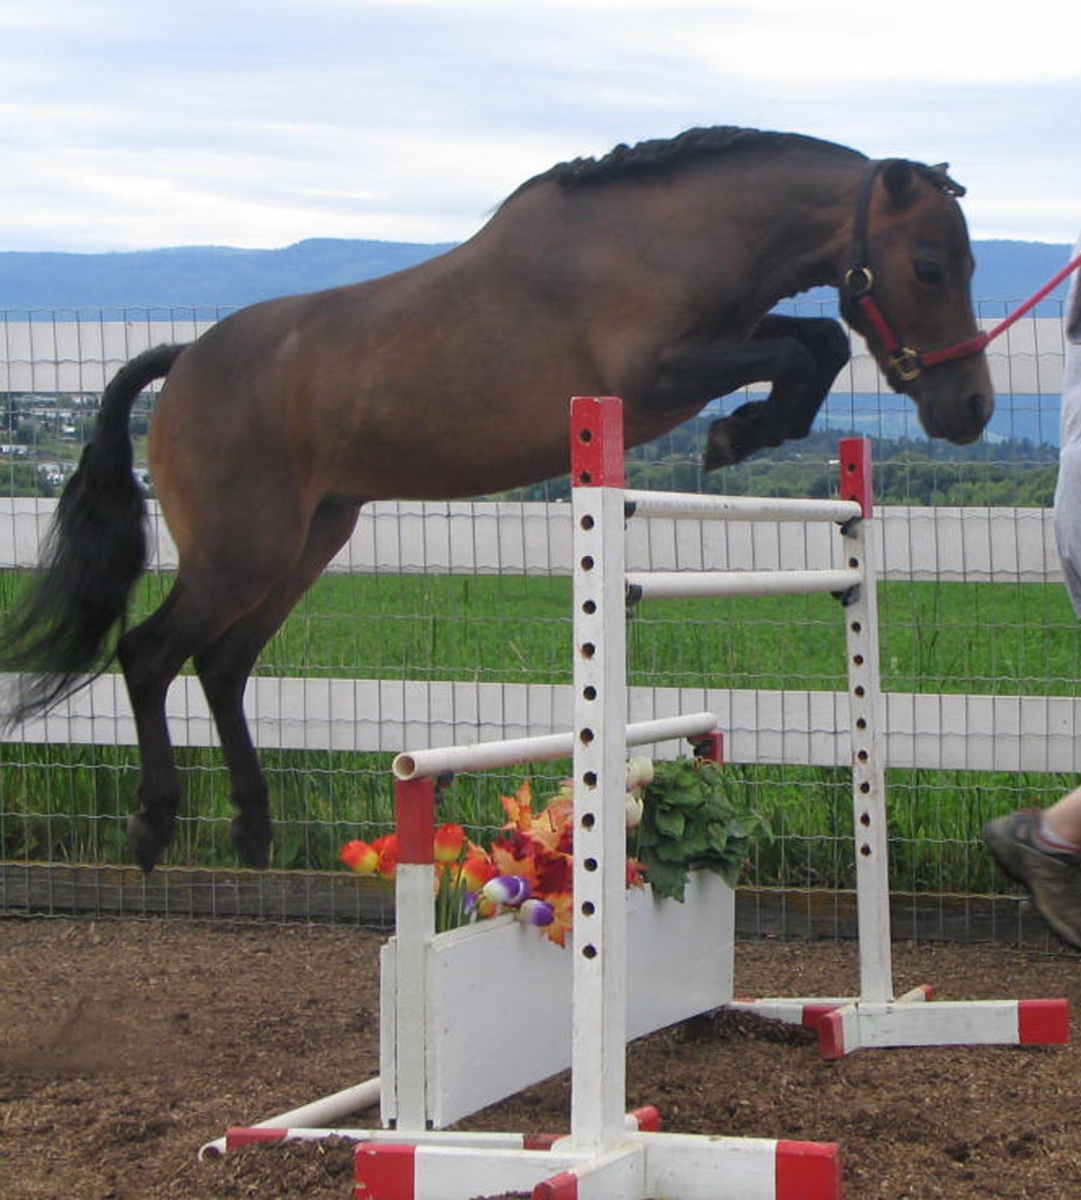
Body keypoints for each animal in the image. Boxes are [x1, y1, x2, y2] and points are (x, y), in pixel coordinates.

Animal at [0, 126, 993, 871]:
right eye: (928, 266)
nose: (970, 410)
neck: (669, 234)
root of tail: (185, 361)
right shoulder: (656, 374)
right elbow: (801, 347)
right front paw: (736, 436)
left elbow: (816, 340)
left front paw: (745, 431)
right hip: (243, 549)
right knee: (149, 655)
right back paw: (154, 823)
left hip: (308, 538)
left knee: (222, 666)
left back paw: (252, 827)